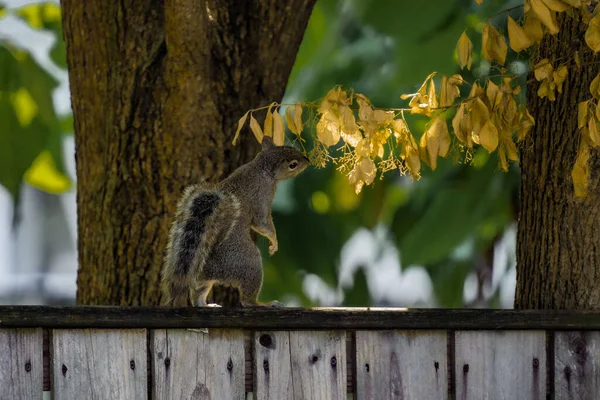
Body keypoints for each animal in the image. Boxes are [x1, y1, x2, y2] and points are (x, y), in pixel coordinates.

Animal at [159, 136, 310, 308]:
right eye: (293, 165)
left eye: (289, 147)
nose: (308, 161)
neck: (261, 167)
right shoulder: (262, 196)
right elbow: (262, 223)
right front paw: (274, 242)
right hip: (248, 263)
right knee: (247, 300)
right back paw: (264, 303)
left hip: (204, 279)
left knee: (198, 292)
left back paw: (206, 304)